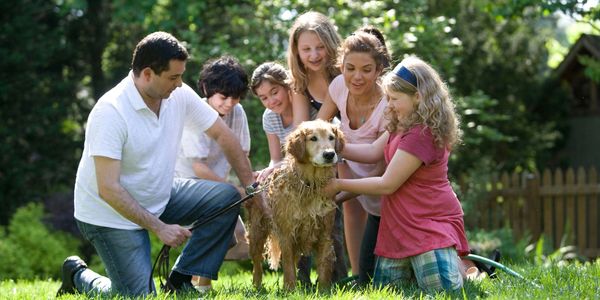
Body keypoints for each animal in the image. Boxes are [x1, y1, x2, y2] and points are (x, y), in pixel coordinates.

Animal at [247, 119, 342, 290]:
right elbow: (288, 267)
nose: (329, 154)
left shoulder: (324, 233)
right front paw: (290, 289)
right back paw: (257, 287)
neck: (310, 185)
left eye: (331, 137)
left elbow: (324, 267)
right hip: (257, 232)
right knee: (257, 264)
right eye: (313, 138)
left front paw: (324, 290)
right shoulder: (287, 235)